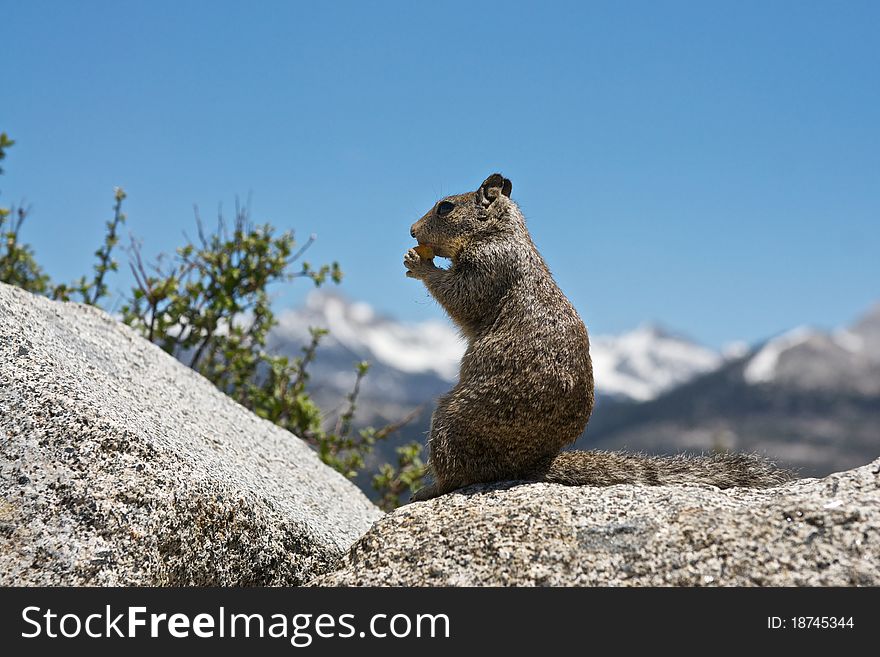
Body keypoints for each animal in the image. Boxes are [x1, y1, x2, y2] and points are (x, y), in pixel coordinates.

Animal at [406, 172, 792, 500]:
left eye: (445, 207)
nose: (411, 231)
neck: (500, 232)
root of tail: (533, 463)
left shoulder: (488, 264)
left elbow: (462, 295)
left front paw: (419, 263)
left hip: (450, 419)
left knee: (461, 475)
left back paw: (429, 489)